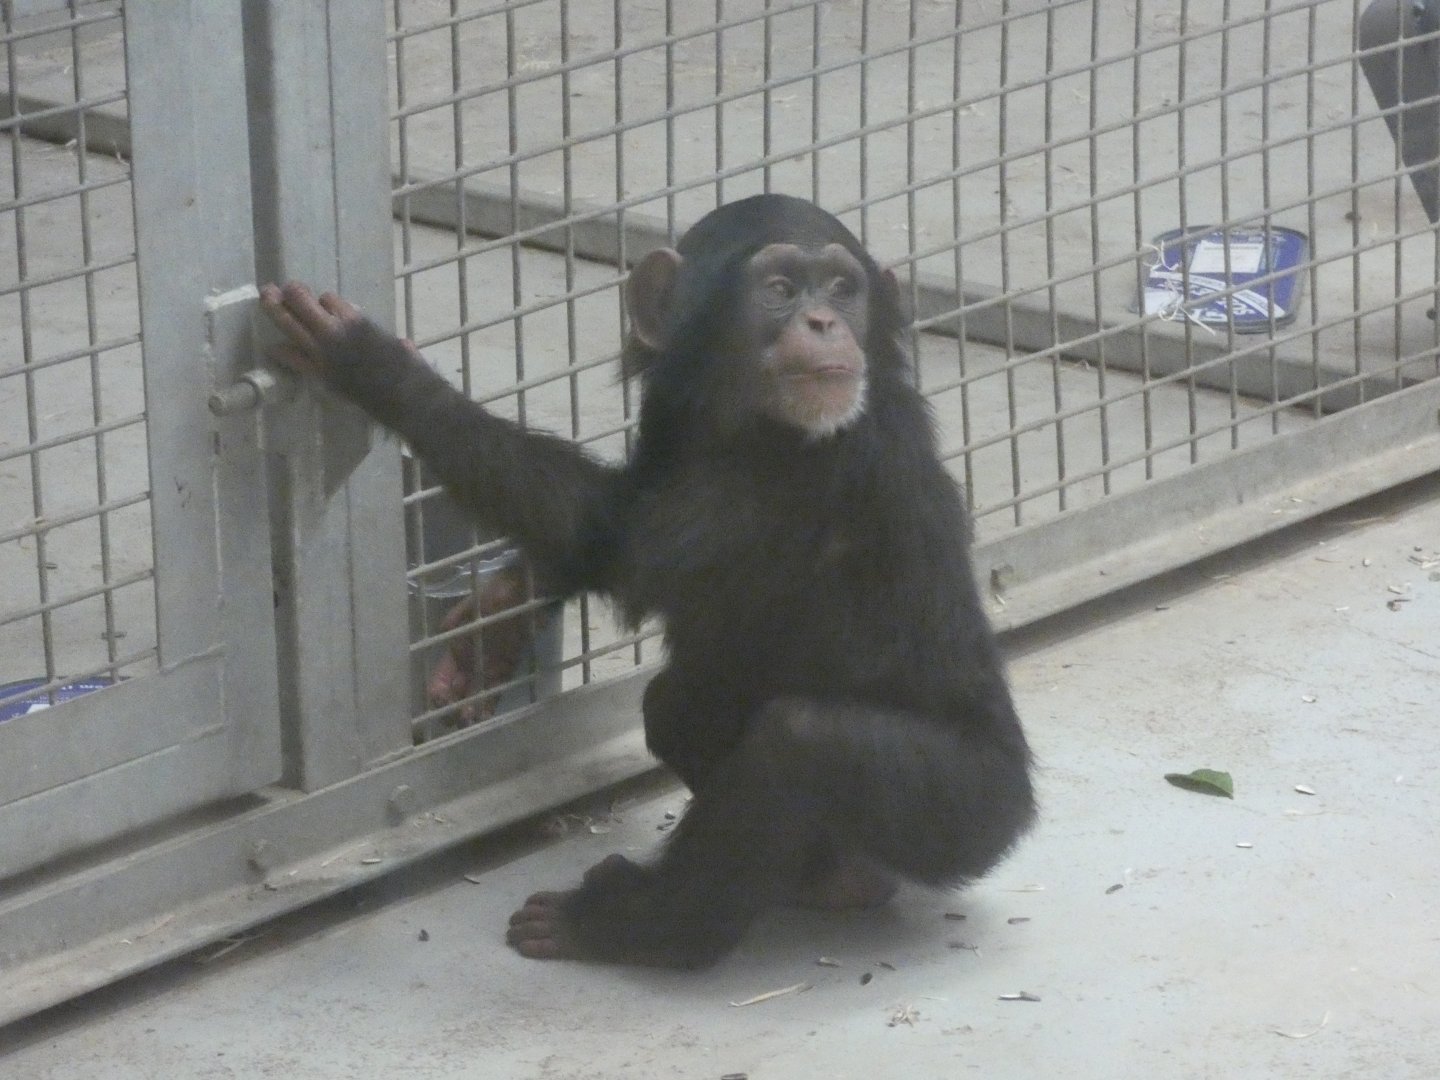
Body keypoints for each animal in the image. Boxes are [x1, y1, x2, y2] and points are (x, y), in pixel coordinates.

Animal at [260, 193, 1035, 969]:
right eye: (780, 289)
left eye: (844, 289)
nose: (824, 322)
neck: (738, 419)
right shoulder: (669, 412)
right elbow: (615, 517)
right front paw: (494, 628)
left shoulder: (818, 465)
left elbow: (620, 541)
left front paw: (374, 365)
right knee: (674, 703)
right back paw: (837, 879)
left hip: (969, 809)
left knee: (799, 743)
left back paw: (628, 925)